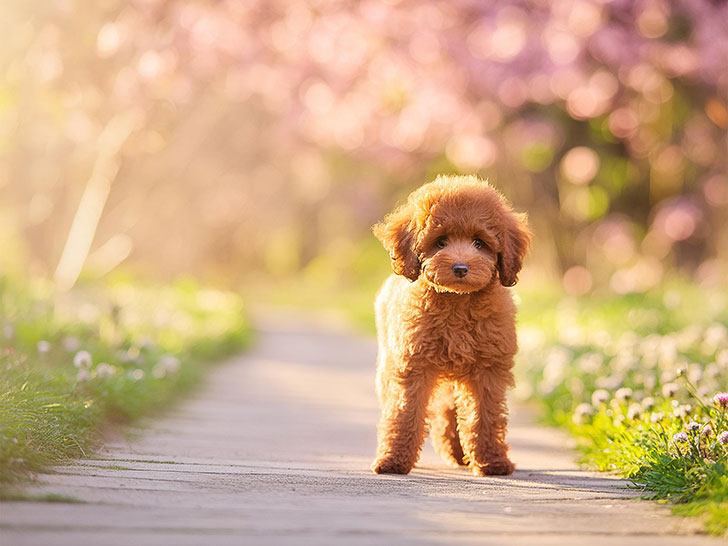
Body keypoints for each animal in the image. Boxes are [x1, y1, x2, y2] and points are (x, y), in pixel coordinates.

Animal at [370, 175, 528, 476]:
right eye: (440, 242)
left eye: (479, 242)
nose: (460, 268)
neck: (458, 300)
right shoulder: (413, 366)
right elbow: (404, 413)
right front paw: (394, 459)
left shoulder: (488, 370)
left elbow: (484, 416)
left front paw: (491, 461)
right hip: (389, 362)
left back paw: (459, 453)